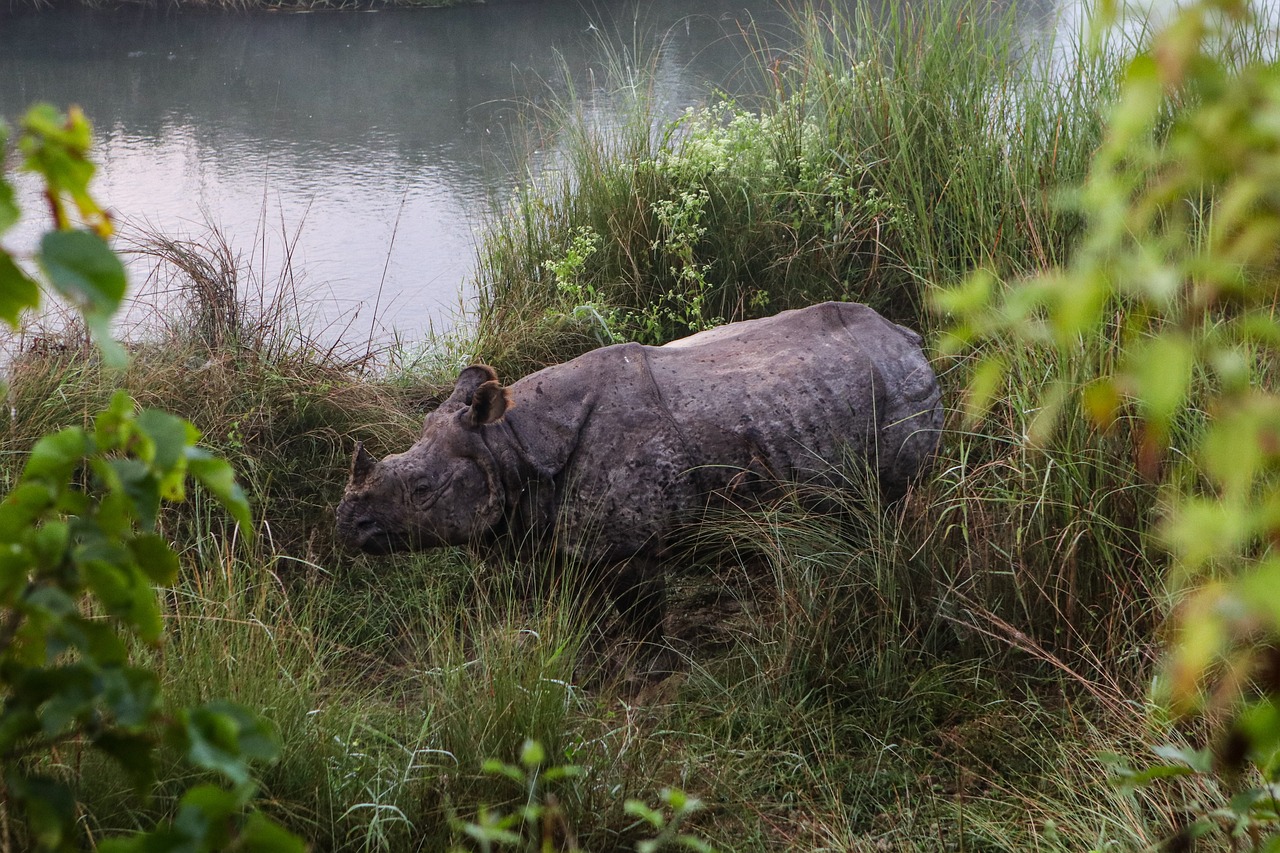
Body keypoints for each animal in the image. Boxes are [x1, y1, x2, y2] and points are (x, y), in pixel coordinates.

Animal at [336, 301, 941, 651]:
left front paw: (646, 669)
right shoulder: (567, 532)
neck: (509, 443)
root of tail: (907, 338)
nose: (346, 526)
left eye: (422, 491)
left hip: (899, 392)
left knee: (889, 504)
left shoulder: (631, 545)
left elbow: (645, 616)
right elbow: (582, 607)